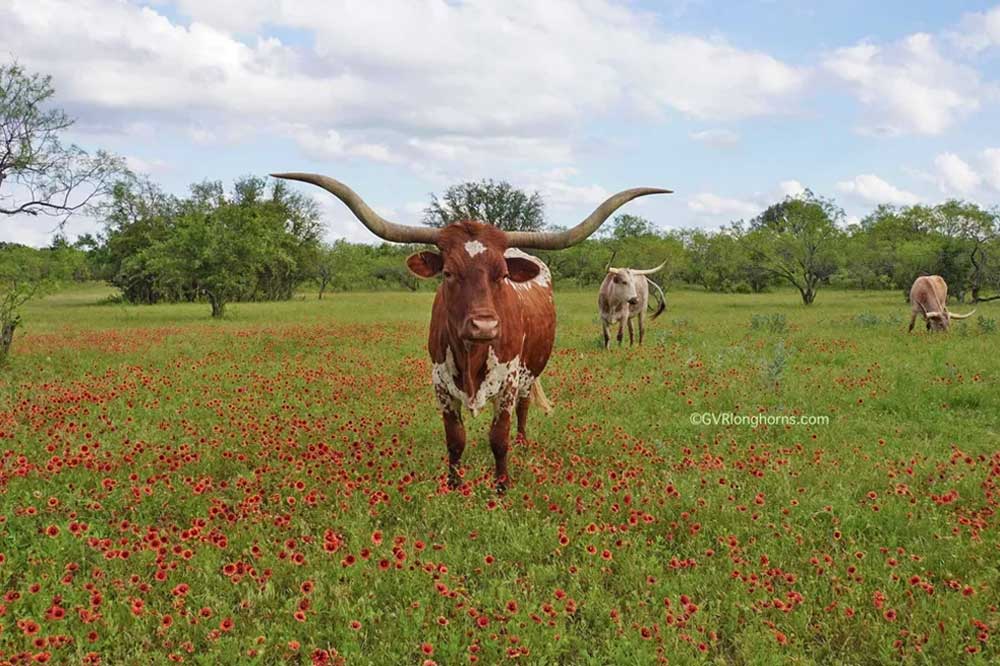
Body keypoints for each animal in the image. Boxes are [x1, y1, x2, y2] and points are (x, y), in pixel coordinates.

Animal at [272, 174, 672, 490]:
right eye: (448, 272)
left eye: (502, 274)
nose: (484, 326)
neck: (472, 355)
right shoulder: (439, 384)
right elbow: (455, 440)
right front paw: (453, 485)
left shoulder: (508, 382)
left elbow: (499, 438)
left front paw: (501, 486)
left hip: (530, 372)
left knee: (524, 410)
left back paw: (524, 442)